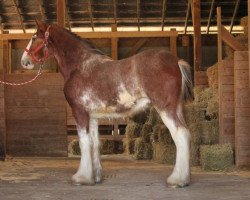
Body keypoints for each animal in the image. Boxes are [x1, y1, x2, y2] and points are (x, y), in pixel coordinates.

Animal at [21, 20, 193, 188]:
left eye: (34, 37)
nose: (24, 62)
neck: (79, 66)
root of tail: (176, 61)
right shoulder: (92, 117)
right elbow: (94, 143)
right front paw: (96, 176)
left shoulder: (79, 112)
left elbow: (84, 143)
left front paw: (81, 177)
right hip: (177, 108)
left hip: (165, 109)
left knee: (180, 135)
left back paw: (177, 180)